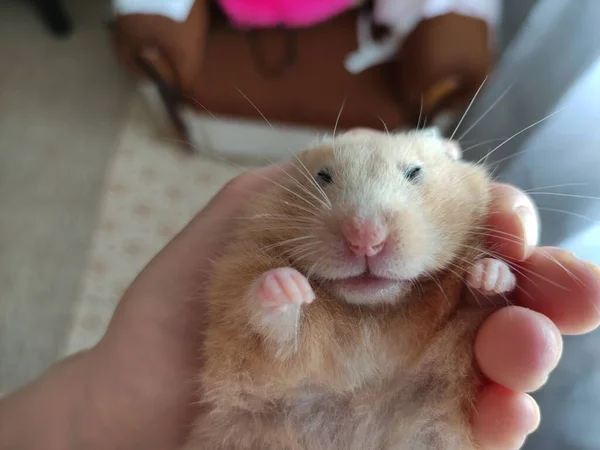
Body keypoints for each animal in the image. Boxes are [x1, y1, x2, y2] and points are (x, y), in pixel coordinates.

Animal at [186, 127, 516, 450]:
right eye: (323, 176)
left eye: (414, 172)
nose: (366, 238)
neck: (369, 313)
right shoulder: (243, 324)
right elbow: (275, 329)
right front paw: (287, 284)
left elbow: (477, 299)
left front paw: (489, 274)